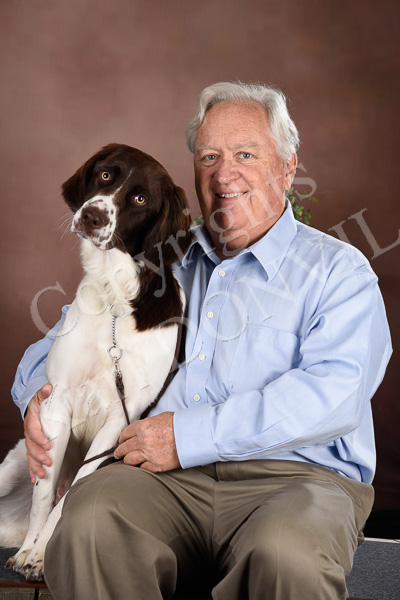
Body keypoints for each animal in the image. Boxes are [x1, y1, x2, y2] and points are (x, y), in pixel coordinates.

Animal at [0, 143, 192, 580]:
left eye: (140, 199)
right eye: (106, 175)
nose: (92, 215)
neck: (116, 298)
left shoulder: (122, 419)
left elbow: (70, 493)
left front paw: (41, 554)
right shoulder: (56, 403)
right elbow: (45, 495)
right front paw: (30, 550)